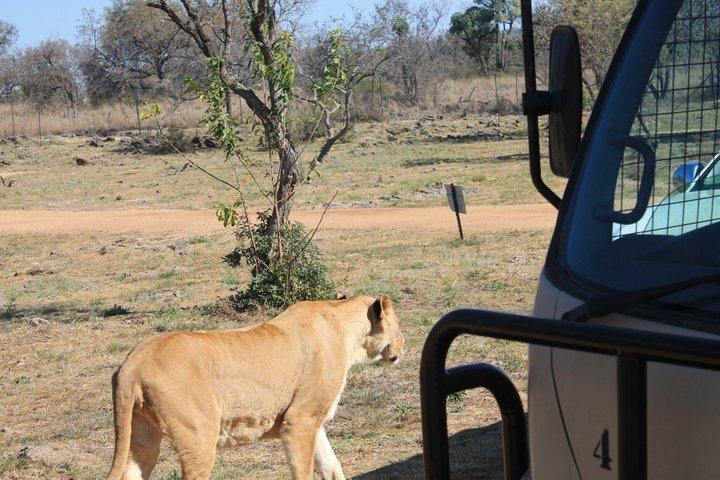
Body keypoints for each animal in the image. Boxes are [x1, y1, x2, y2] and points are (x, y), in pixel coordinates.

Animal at [107, 295, 404, 480]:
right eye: (399, 326)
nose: (405, 342)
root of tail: (133, 361)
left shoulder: (313, 423)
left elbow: (332, 467)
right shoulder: (298, 421)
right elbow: (305, 470)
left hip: (142, 437)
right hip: (198, 436)